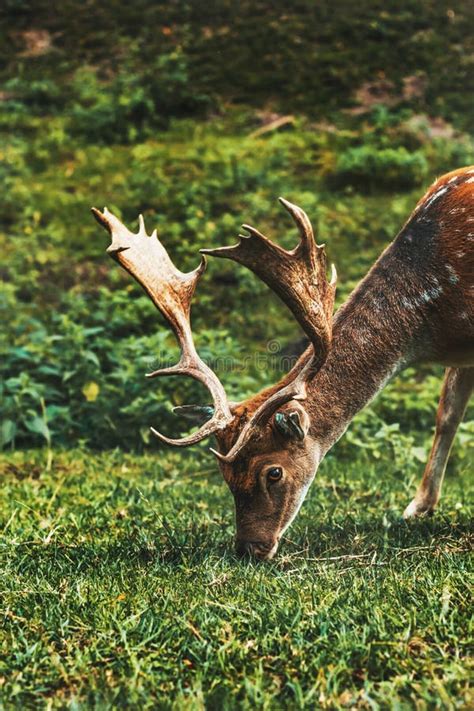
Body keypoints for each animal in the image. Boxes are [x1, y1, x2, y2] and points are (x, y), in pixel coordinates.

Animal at [92, 168, 474, 560]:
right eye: (225, 474)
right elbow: (446, 416)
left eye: (273, 473)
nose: (249, 548)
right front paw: (418, 507)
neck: (431, 323)